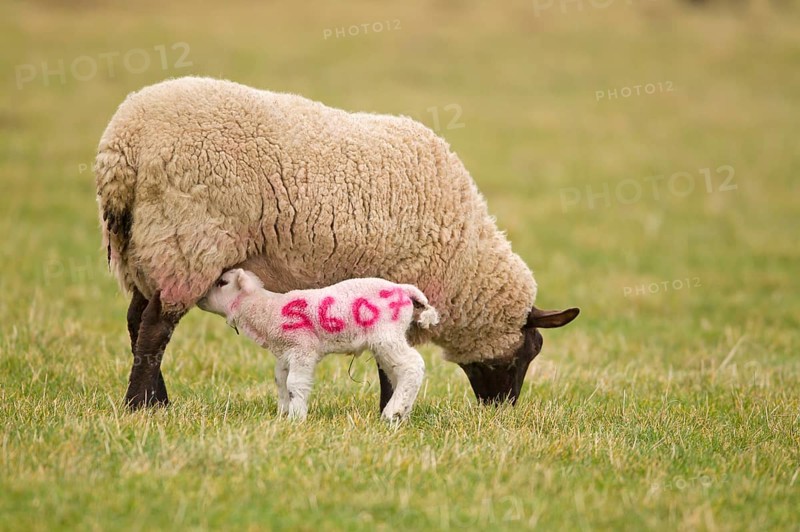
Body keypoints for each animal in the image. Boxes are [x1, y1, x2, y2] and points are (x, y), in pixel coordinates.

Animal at [198, 269, 438, 421]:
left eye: (222, 283)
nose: (200, 298)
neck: (267, 309)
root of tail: (404, 290)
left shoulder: (302, 348)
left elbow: (294, 383)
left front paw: (296, 417)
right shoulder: (285, 352)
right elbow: (280, 380)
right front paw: (283, 413)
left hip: (386, 335)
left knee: (413, 365)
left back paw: (393, 412)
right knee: (399, 372)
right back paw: (401, 412)